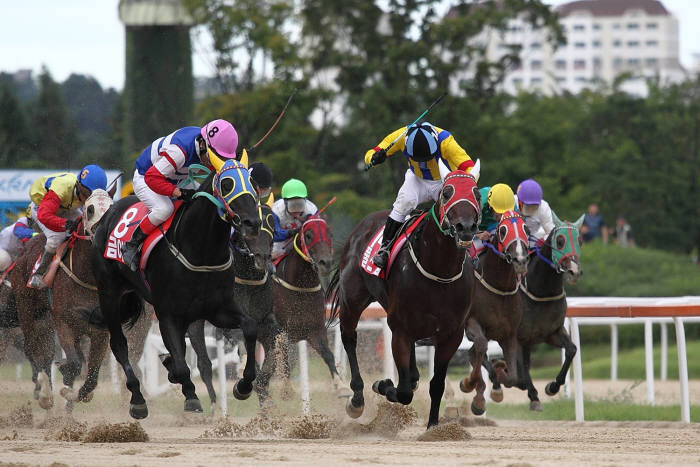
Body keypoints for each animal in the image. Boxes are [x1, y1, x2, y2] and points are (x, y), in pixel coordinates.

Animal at [89, 162, 262, 420]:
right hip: (109, 293)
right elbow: (181, 365)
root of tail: (109, 213)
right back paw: (138, 399)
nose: (252, 223)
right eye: (226, 184)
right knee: (119, 345)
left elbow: (250, 327)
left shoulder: (217, 309)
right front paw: (191, 396)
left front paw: (243, 385)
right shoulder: (168, 313)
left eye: (252, 182)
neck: (201, 253)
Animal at [272, 214, 340, 394]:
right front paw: (287, 391)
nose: (325, 262)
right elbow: (284, 360)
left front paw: (341, 385)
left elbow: (328, 355)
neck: (300, 288)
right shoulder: (282, 332)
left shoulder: (315, 330)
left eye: (330, 234)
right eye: (308, 235)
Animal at [456, 210, 528, 414]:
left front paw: (500, 373)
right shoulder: (471, 323)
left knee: (473, 354)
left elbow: (512, 378)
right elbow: (480, 347)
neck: (499, 287)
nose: (520, 260)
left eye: (526, 228)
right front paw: (469, 384)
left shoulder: (509, 334)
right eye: (502, 230)